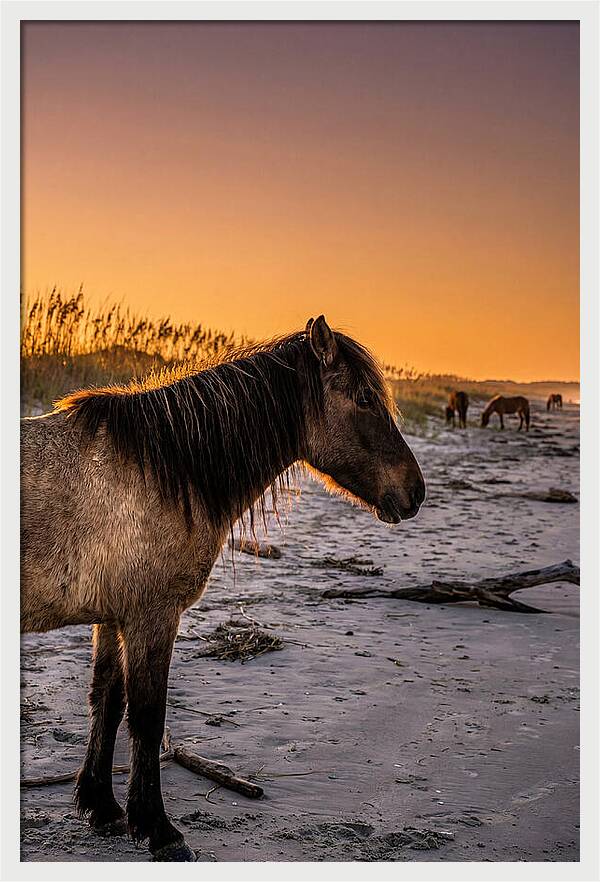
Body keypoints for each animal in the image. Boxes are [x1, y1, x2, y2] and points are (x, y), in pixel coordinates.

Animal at [21, 315, 426, 862]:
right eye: (364, 399)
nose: (416, 492)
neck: (164, 469)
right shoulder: (153, 616)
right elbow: (147, 716)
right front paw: (158, 829)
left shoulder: (114, 616)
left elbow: (107, 699)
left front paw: (102, 807)